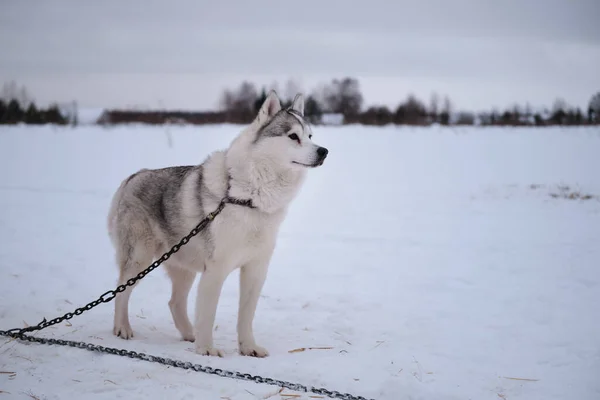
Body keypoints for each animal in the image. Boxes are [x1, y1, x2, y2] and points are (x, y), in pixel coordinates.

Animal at [106, 90, 328, 356]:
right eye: (293, 136)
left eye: (310, 136)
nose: (323, 151)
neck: (249, 197)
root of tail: (134, 176)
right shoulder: (216, 269)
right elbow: (208, 314)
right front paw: (206, 350)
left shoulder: (255, 269)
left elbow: (246, 316)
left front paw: (248, 347)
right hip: (139, 259)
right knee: (121, 290)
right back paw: (122, 328)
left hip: (183, 266)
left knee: (174, 302)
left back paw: (189, 335)